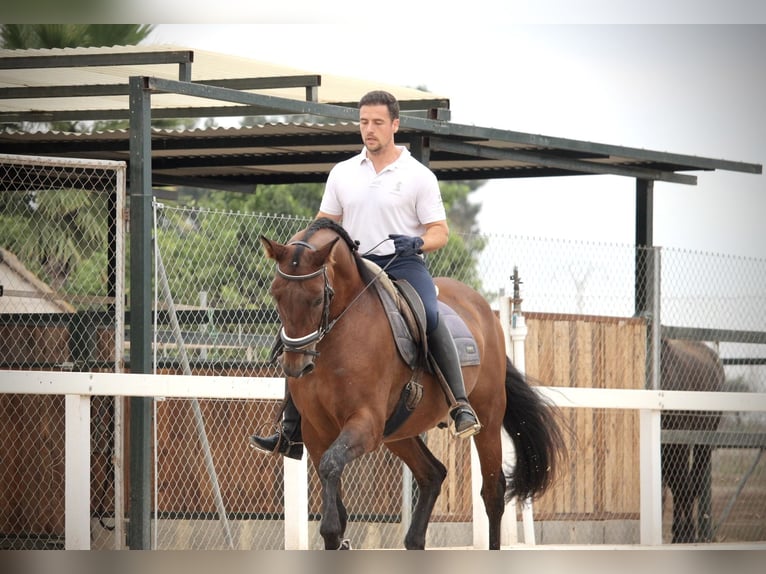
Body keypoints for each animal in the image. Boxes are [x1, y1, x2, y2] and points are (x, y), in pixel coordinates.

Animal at [259, 218, 565, 550]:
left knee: (493, 493)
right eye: (276, 294)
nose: (296, 366)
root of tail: (484, 310)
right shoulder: (316, 431)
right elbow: (333, 497)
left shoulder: (365, 424)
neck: (340, 333)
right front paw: (337, 538)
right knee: (433, 474)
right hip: (398, 431)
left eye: (317, 298)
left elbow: (331, 471)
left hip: (488, 418)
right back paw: (415, 539)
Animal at [660, 338, 725, 543]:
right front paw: (680, 532)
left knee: (691, 481)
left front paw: (686, 534)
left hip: (704, 438)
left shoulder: (677, 440)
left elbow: (681, 484)